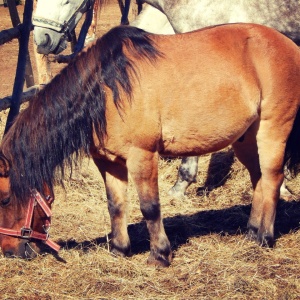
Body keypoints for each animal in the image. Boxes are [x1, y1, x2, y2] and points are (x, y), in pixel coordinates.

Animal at [0, 24, 300, 266]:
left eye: (4, 199)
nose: (9, 251)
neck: (108, 87)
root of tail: (287, 44)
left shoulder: (142, 155)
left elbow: (150, 207)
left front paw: (160, 255)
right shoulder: (108, 161)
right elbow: (116, 205)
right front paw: (120, 250)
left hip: (273, 129)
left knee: (273, 178)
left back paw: (265, 237)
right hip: (246, 138)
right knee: (258, 178)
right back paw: (251, 231)